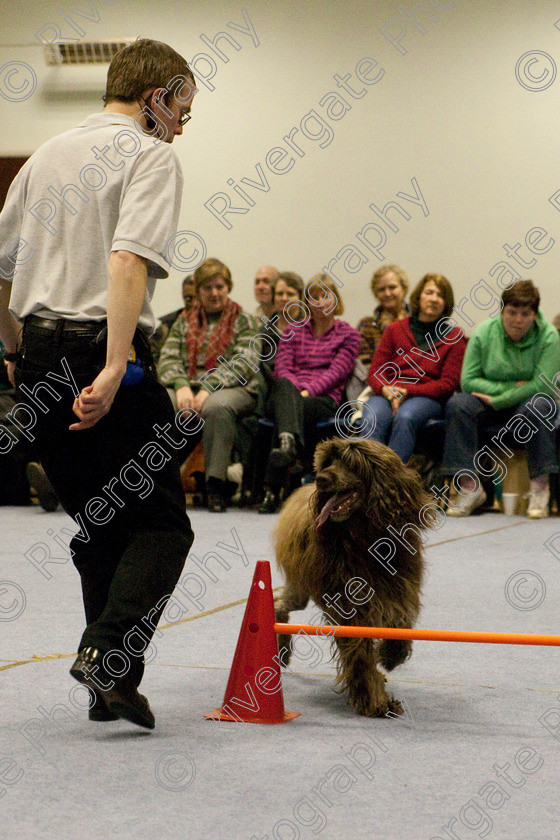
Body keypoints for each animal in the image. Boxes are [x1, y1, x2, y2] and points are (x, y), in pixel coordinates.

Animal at [274, 436, 430, 720]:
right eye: (328, 461)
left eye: (349, 462)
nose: (321, 479)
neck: (365, 540)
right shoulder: (350, 607)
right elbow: (359, 654)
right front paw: (375, 702)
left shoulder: (400, 591)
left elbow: (401, 625)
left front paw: (391, 656)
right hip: (300, 585)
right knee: (278, 603)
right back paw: (282, 650)